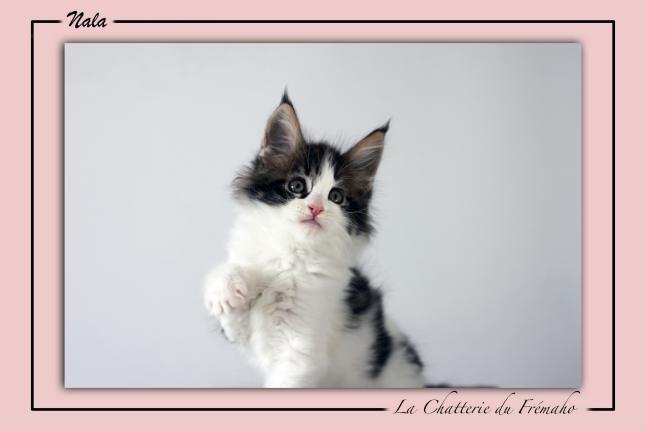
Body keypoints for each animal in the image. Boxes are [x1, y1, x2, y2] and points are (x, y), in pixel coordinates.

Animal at [203, 92, 426, 388]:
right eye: (297, 186)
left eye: (336, 197)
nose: (316, 208)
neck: (291, 255)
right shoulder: (243, 336)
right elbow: (232, 281)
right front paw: (226, 289)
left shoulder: (300, 352)